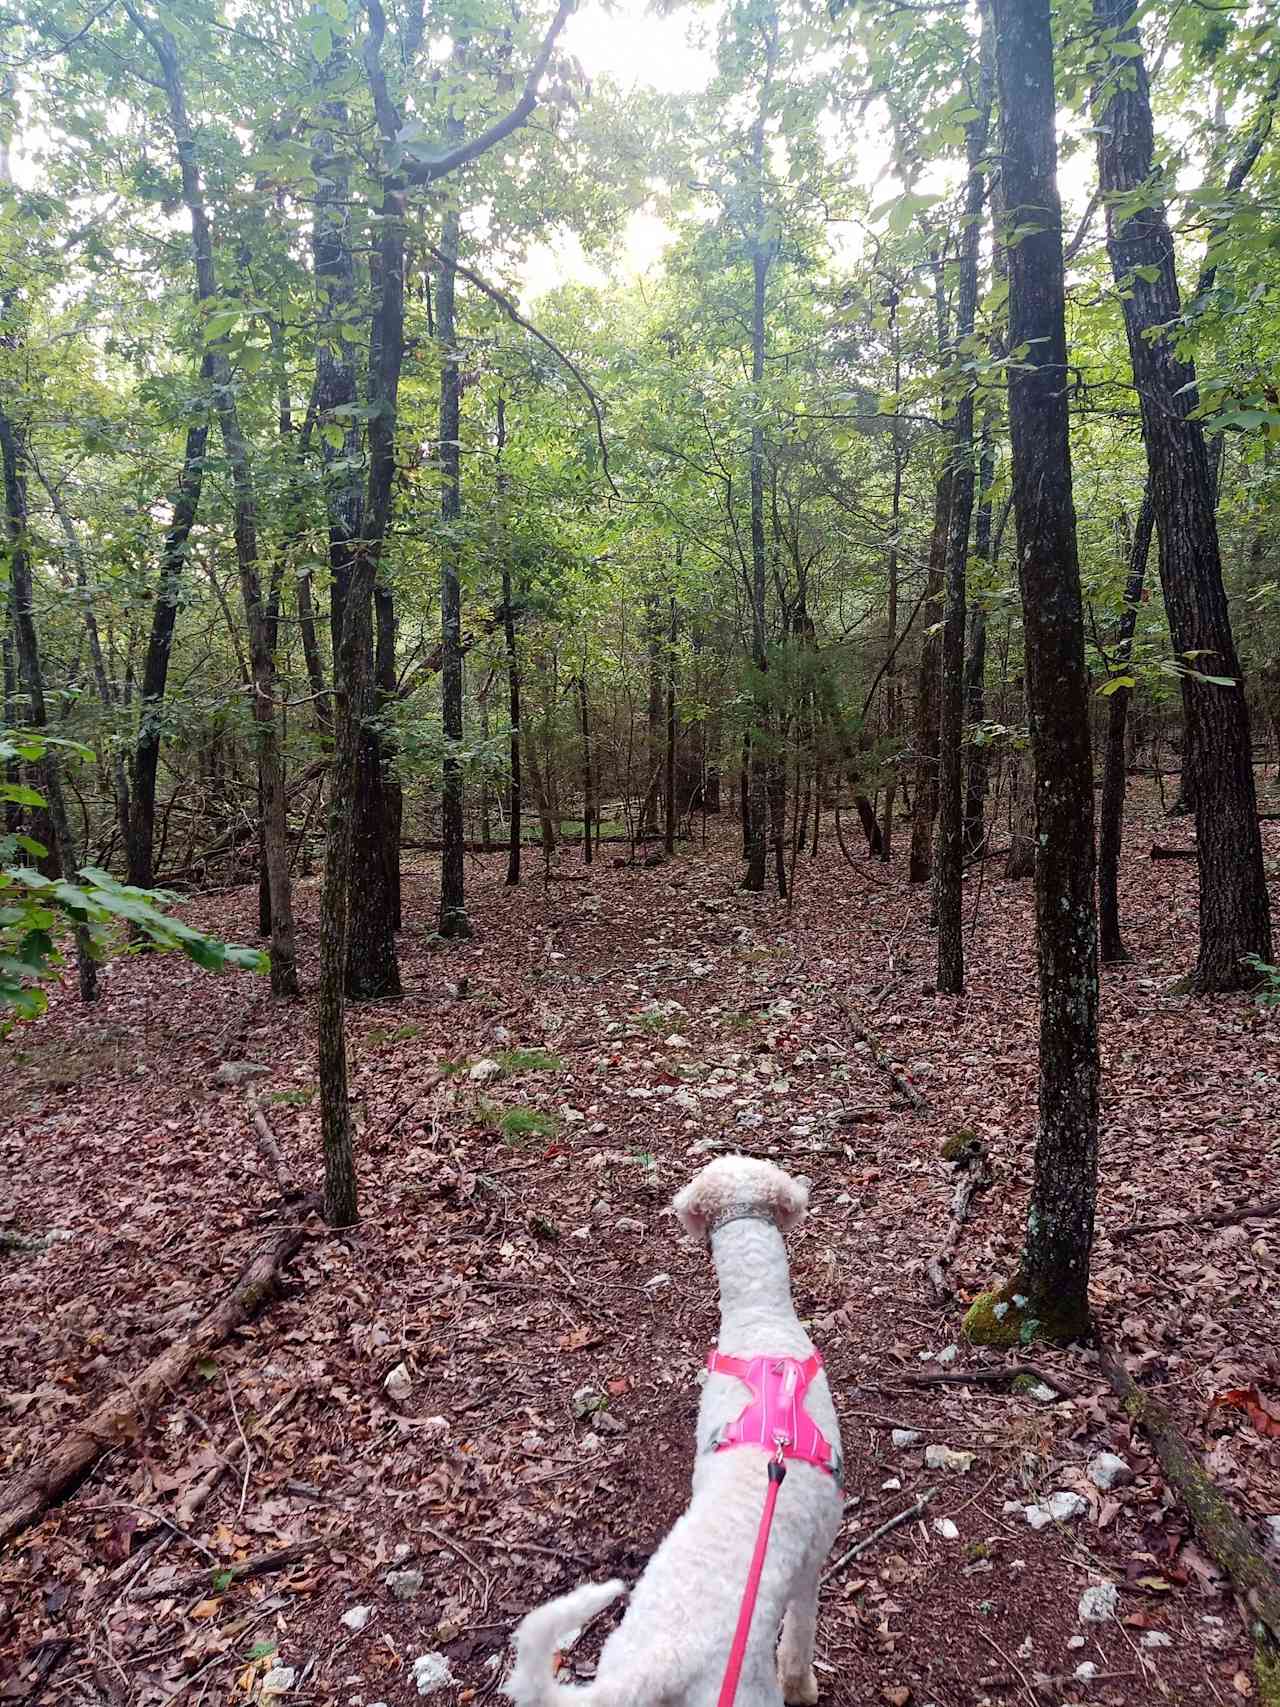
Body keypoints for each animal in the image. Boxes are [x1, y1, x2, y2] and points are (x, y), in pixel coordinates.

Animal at [505, 1153, 846, 1700]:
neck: (760, 1320)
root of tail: (662, 1662)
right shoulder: (811, 1564)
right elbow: (799, 1637)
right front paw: (804, 1687)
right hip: (745, 1691)